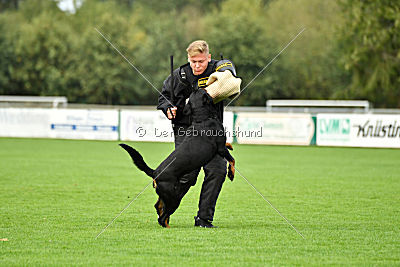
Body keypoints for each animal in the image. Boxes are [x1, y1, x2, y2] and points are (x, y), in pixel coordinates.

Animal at [120, 89, 236, 229]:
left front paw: (231, 146)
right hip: (174, 197)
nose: (199, 87)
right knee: (163, 216)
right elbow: (232, 160)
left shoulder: (221, 148)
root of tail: (155, 172)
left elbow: (228, 148)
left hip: (168, 194)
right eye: (203, 91)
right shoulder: (220, 148)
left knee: (158, 207)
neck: (202, 119)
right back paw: (168, 226)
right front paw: (231, 174)